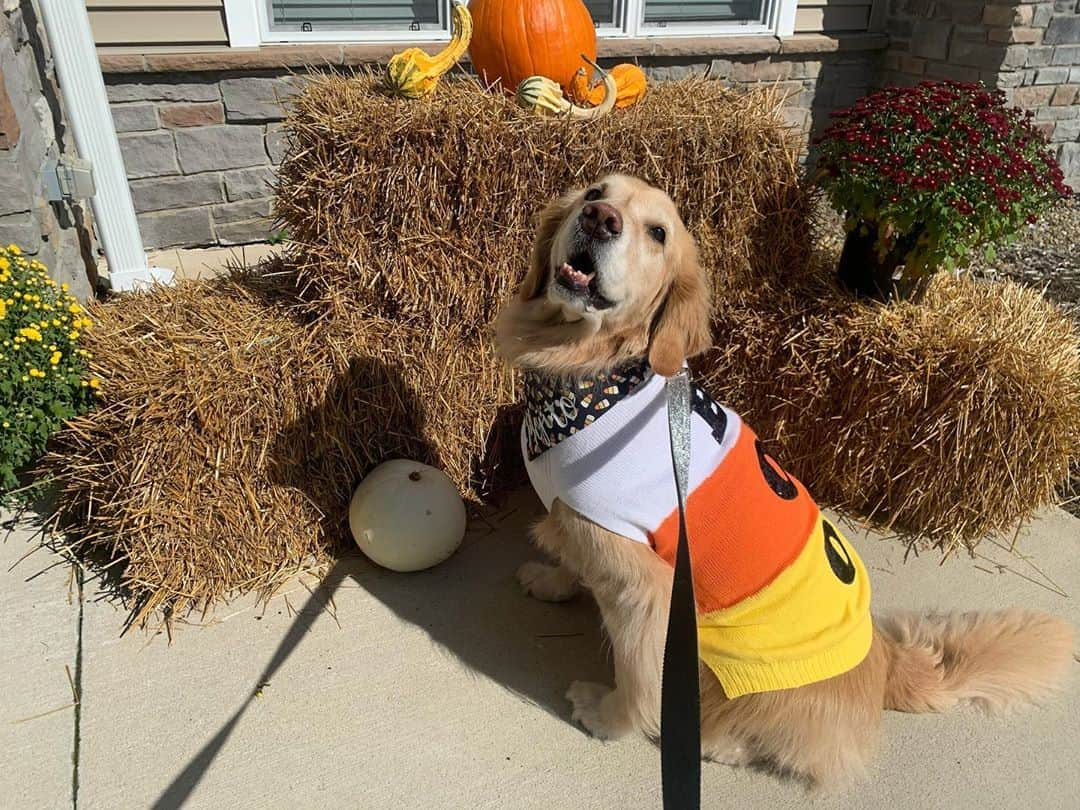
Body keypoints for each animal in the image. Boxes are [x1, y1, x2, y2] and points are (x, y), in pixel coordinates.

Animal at [494, 174, 1075, 790]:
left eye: (658, 233)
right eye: (594, 192)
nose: (600, 219)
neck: (599, 378)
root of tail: (885, 664)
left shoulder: (647, 591)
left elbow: (638, 675)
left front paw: (607, 717)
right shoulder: (579, 522)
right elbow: (571, 558)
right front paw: (552, 579)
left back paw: (722, 744)